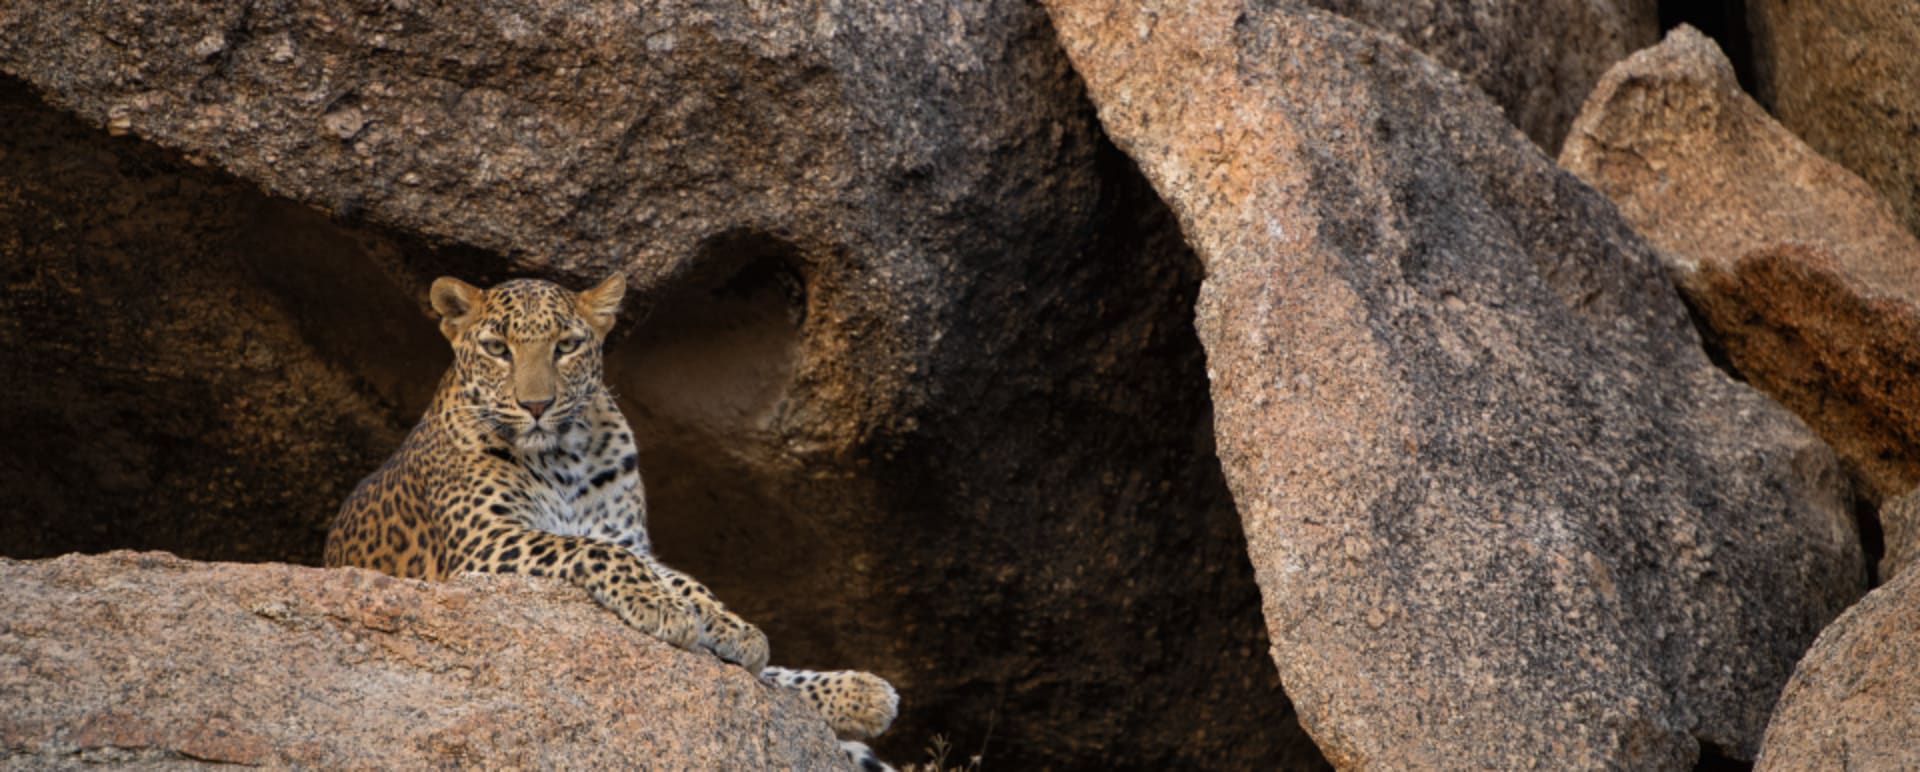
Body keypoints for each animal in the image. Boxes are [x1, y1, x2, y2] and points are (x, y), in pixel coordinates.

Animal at [325, 273, 898, 769]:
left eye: (565, 346)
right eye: (497, 349)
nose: (536, 405)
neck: (563, 457)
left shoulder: (630, 539)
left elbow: (682, 578)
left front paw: (730, 625)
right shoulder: (485, 544)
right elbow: (593, 550)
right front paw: (663, 608)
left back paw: (861, 693)